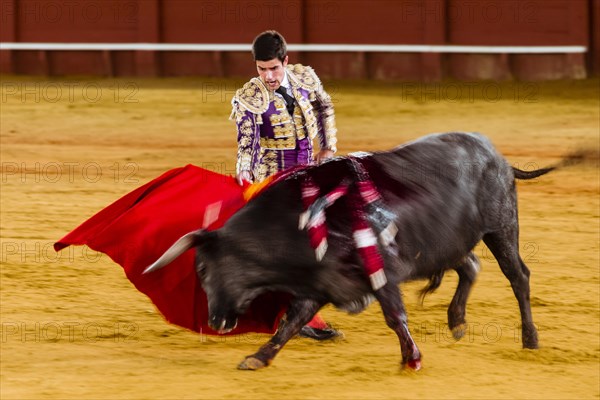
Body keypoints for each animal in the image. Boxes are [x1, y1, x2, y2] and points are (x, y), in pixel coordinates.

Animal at [144, 133, 576, 370]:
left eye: (202, 269)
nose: (216, 322)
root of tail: (499, 157)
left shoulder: (379, 271)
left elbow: (394, 315)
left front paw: (411, 359)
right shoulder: (319, 284)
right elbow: (290, 323)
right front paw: (258, 358)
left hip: (501, 227)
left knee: (517, 276)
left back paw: (530, 339)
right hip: (449, 240)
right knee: (469, 266)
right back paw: (456, 321)